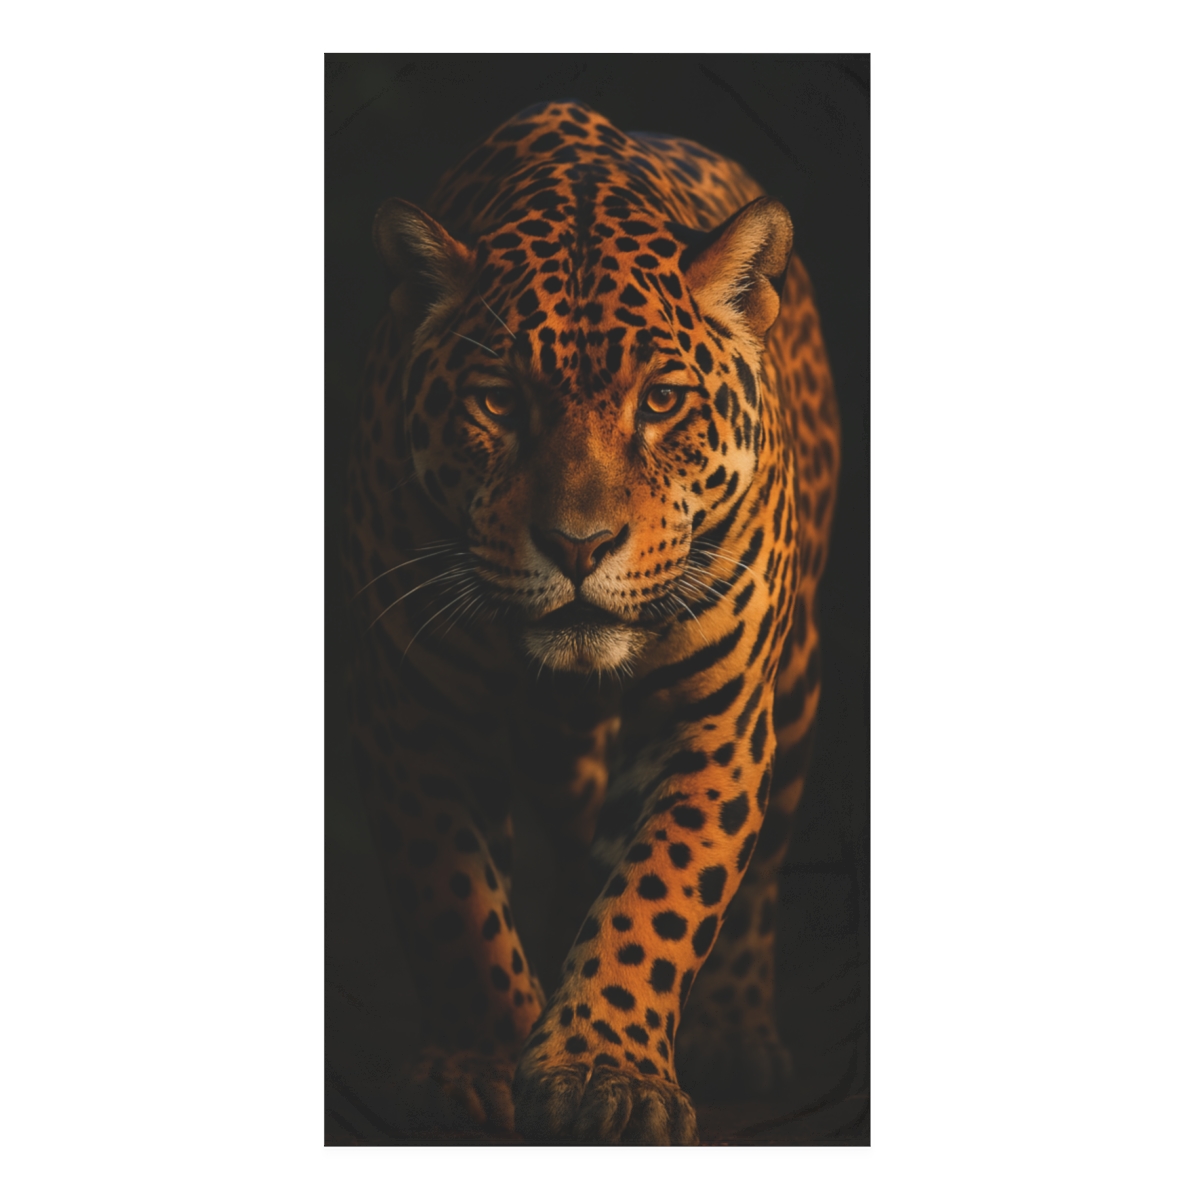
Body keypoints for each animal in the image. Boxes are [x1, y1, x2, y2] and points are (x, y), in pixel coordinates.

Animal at [342, 99, 840, 1145]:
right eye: (498, 402)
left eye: (662, 402)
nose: (580, 546)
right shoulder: (410, 709)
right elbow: (453, 900)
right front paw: (481, 1062)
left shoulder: (714, 719)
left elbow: (661, 894)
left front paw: (604, 1073)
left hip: (799, 690)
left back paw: (734, 1033)